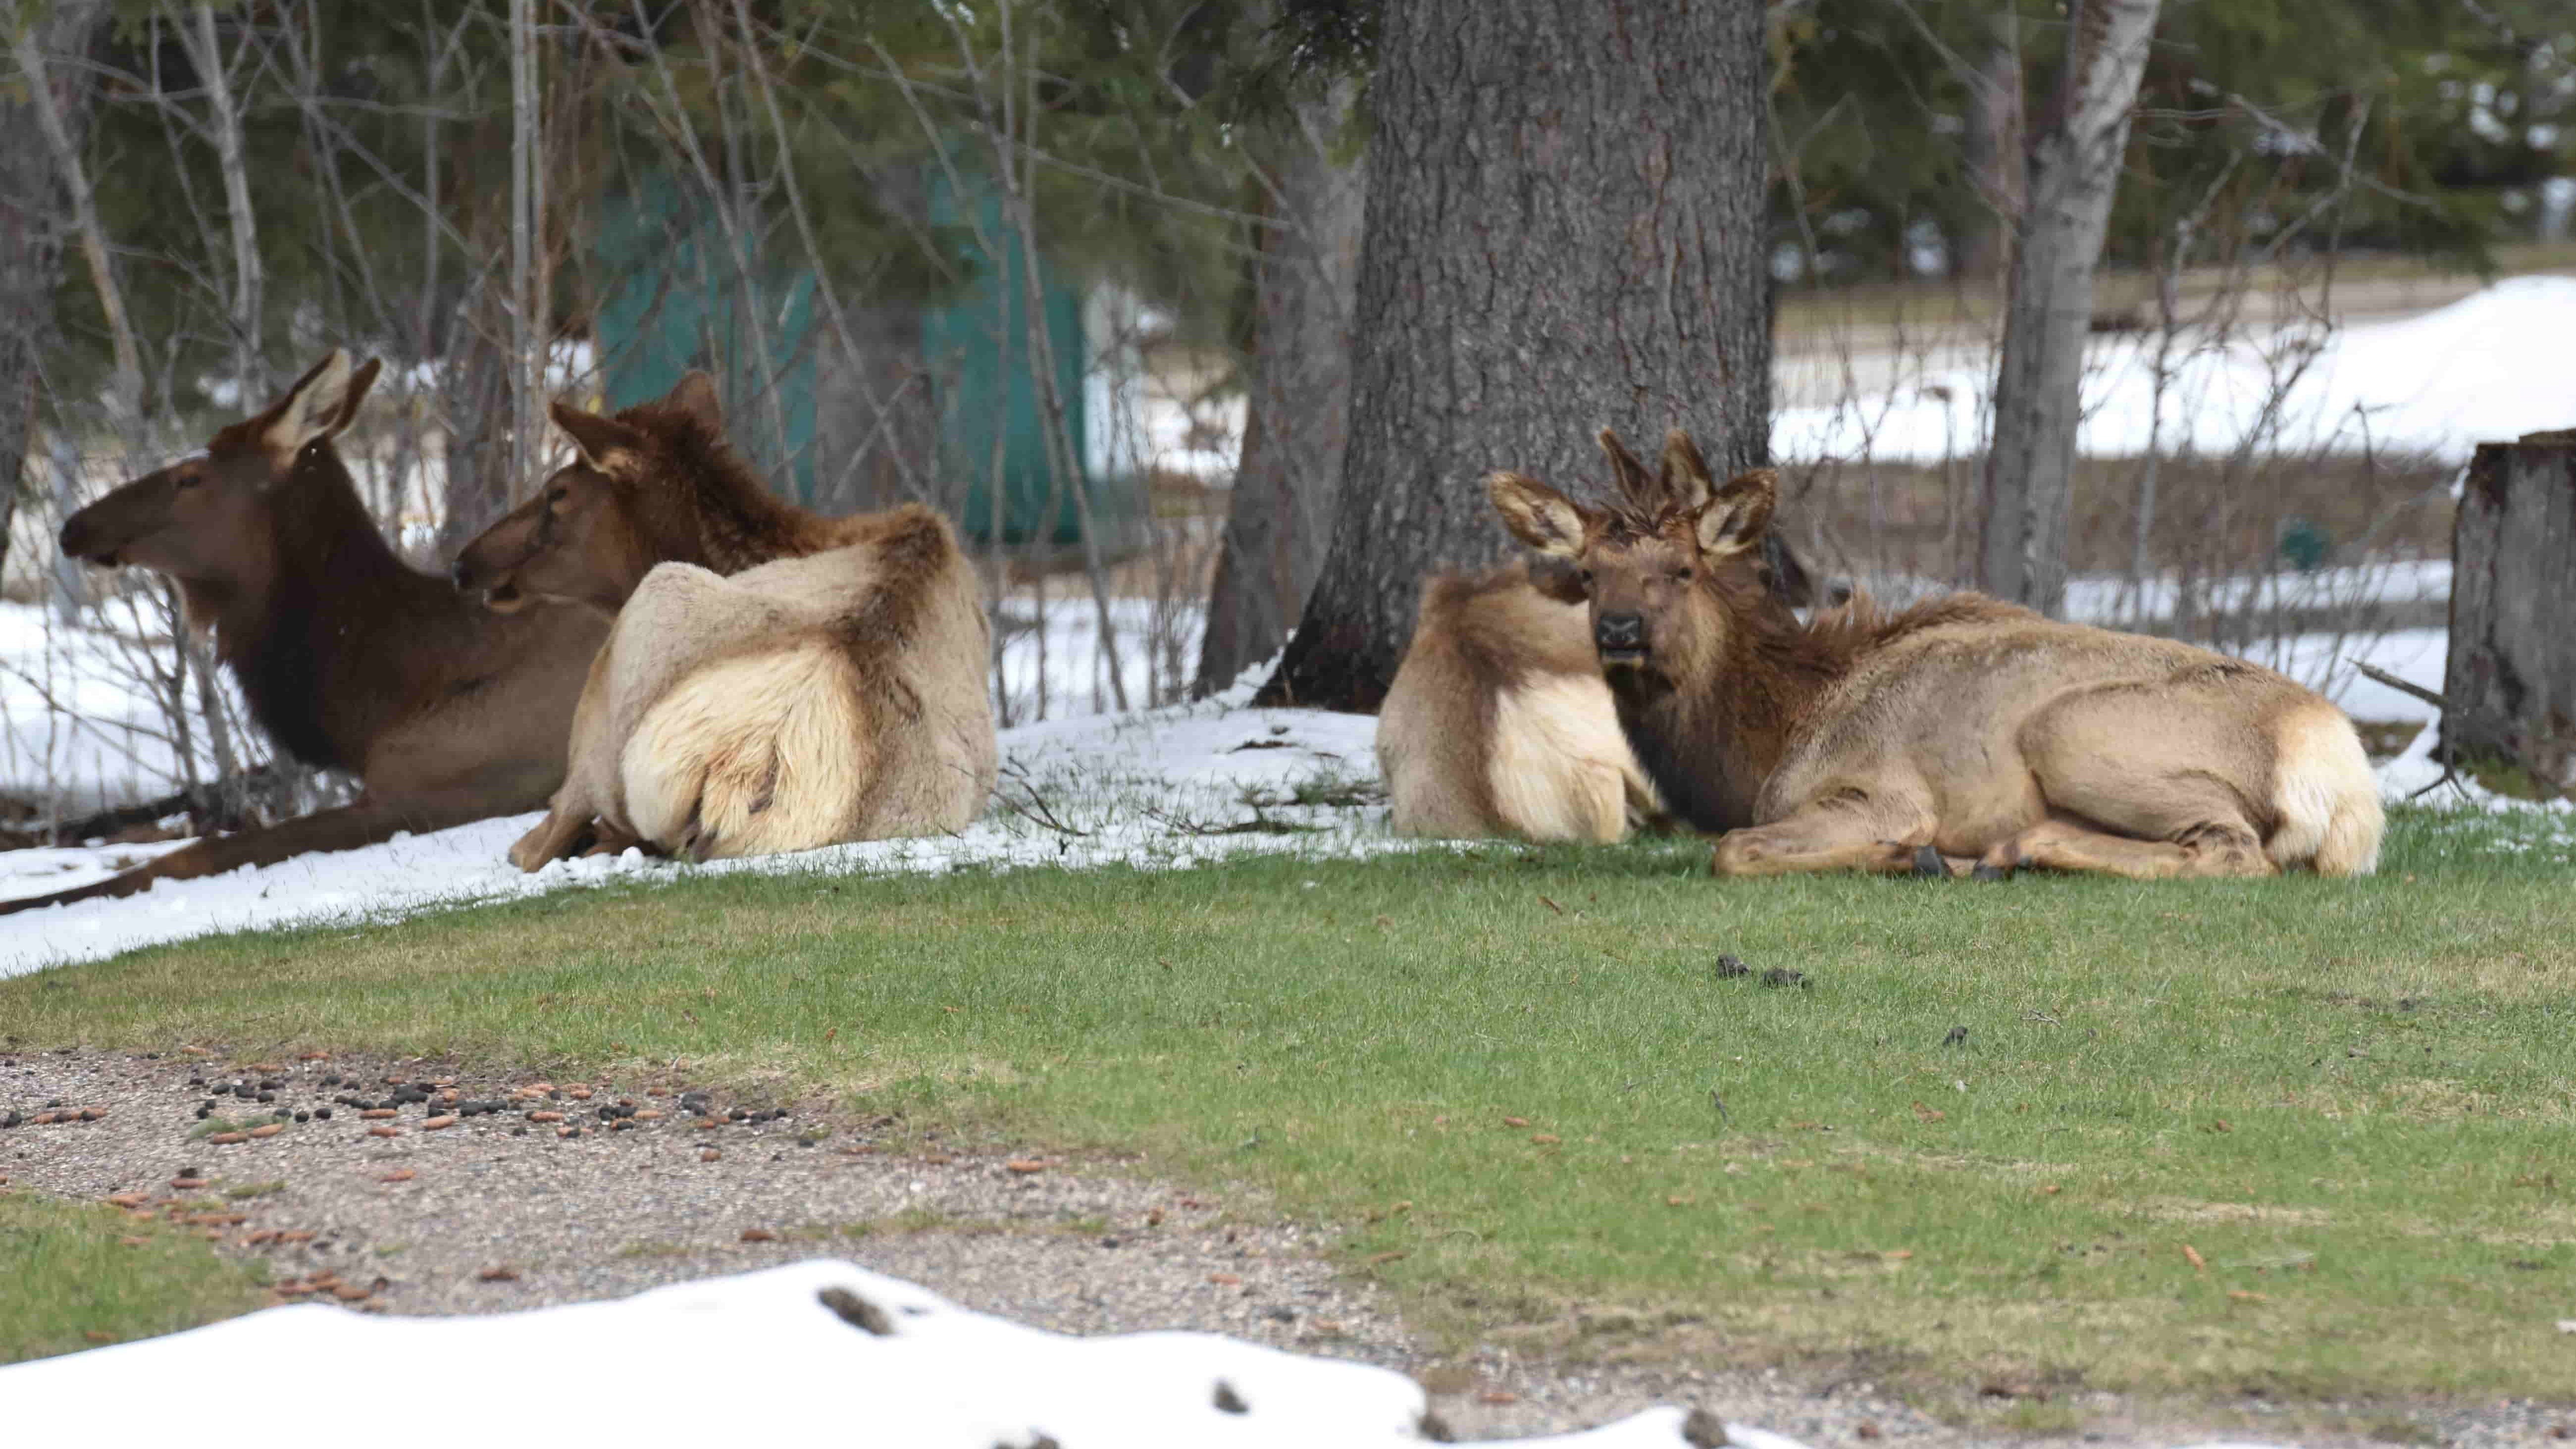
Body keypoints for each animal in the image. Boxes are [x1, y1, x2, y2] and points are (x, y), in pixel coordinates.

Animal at [1486, 427, 2384, 880]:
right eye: (1588, 573)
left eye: (1680, 569)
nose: (1620, 630)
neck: (1765, 739)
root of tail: (2338, 764)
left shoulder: (1875, 791)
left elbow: (1733, 849)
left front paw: (1905, 853)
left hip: (2077, 732)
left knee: (2235, 852)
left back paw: (2008, 850)